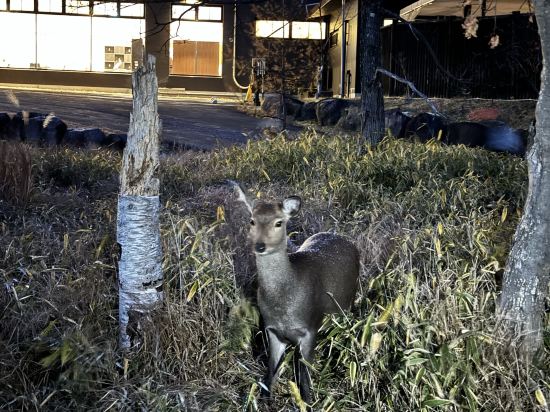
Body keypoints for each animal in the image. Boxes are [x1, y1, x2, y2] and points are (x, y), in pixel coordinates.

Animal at [230, 182, 362, 408]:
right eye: (252, 220)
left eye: (279, 222)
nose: (260, 246)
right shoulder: (272, 330)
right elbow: (270, 372)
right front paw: (265, 400)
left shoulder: (310, 327)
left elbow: (305, 377)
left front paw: (308, 403)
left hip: (348, 304)